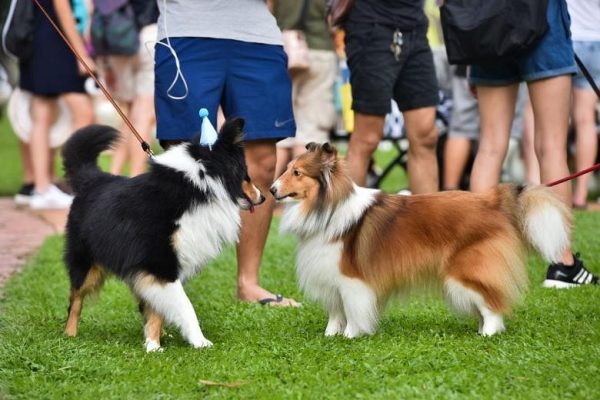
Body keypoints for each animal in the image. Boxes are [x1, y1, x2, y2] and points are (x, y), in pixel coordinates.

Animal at [61, 119, 264, 350]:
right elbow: (185, 306)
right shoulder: (158, 262)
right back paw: (70, 335)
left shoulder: (162, 268)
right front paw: (197, 341)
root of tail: (92, 179)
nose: (263, 197)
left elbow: (160, 308)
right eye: (246, 173)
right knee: (75, 300)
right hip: (85, 262)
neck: (198, 185)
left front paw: (153, 343)